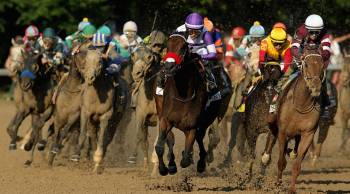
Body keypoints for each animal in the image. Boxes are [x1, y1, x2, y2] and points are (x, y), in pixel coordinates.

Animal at [154, 33, 223, 176]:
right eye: (167, 45)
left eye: (183, 47)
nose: (168, 67)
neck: (182, 95)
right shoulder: (165, 119)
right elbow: (159, 146)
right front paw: (163, 169)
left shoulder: (191, 126)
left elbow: (185, 158)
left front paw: (190, 158)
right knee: (171, 138)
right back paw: (172, 164)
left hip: (207, 119)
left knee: (200, 138)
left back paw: (201, 163)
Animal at [276, 48, 326, 192]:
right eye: (307, 64)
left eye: (322, 65)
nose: (315, 87)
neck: (301, 103)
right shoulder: (282, 132)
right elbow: (281, 162)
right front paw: (277, 185)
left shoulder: (308, 133)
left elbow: (297, 165)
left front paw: (292, 189)